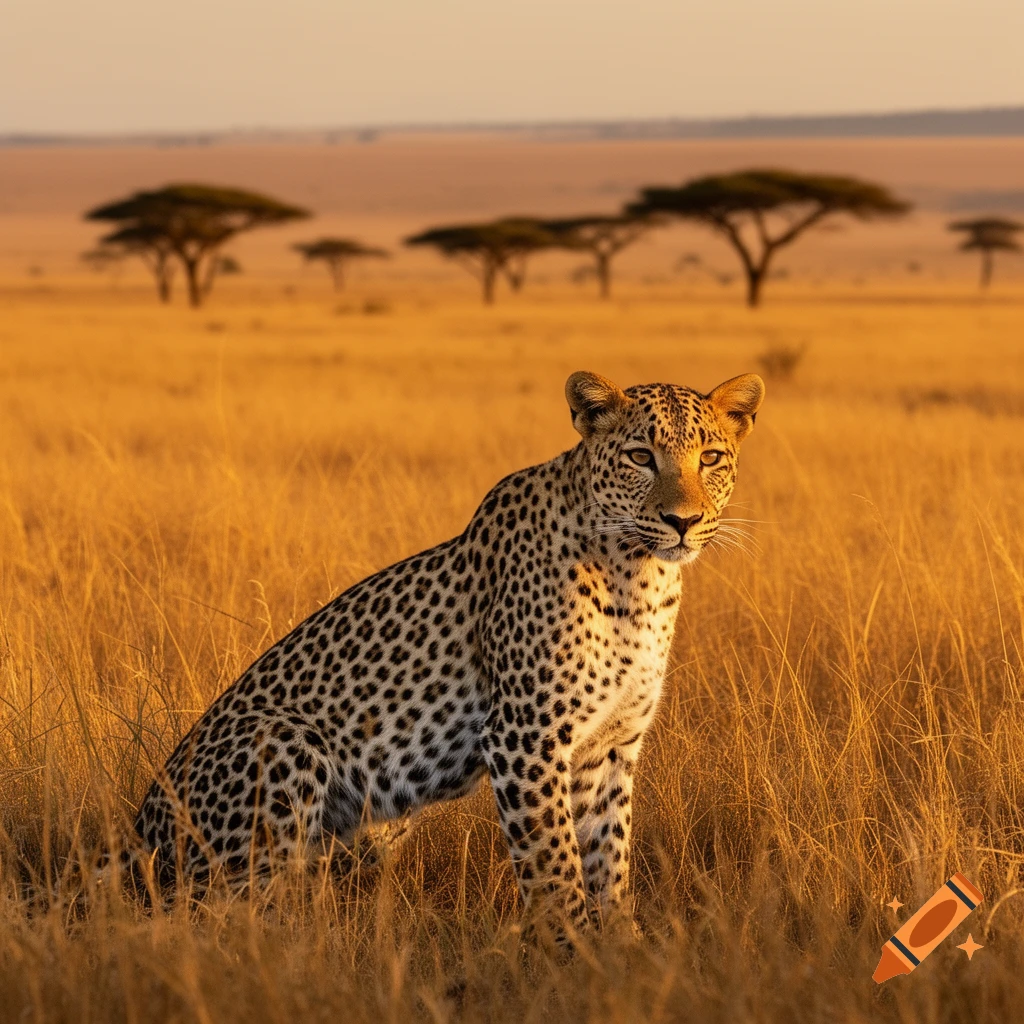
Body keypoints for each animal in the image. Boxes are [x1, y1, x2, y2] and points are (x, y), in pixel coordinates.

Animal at [129, 369, 764, 937]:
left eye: (710, 457)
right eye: (639, 456)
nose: (683, 521)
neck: (641, 578)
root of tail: (135, 829)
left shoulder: (609, 745)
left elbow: (608, 858)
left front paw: (621, 950)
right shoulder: (524, 736)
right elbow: (554, 863)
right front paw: (571, 954)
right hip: (285, 741)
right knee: (220, 914)